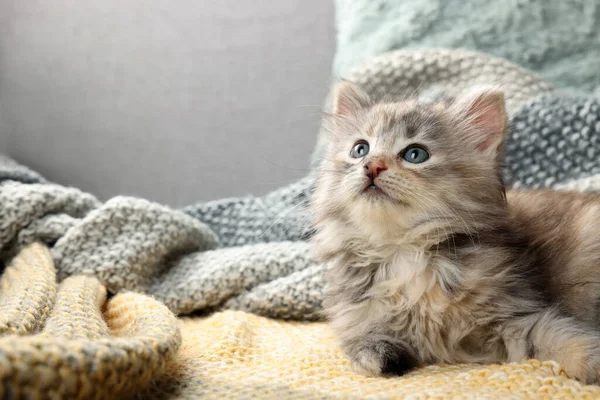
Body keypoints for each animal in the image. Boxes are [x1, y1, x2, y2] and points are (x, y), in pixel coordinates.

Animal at [312, 81, 600, 384]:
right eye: (360, 149)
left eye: (415, 154)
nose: (372, 166)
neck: (403, 249)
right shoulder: (354, 315)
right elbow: (362, 341)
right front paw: (379, 355)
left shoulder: (514, 315)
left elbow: (559, 336)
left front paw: (592, 361)